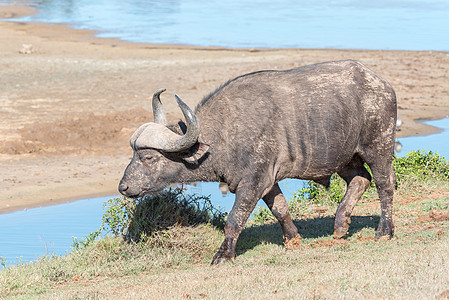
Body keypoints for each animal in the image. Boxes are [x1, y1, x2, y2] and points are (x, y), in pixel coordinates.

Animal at [119, 59, 396, 264]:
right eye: (133, 154)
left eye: (148, 157)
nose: (123, 187)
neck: (226, 133)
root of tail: (382, 86)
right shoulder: (269, 181)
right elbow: (280, 208)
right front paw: (293, 239)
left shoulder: (253, 182)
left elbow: (235, 218)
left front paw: (224, 254)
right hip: (345, 158)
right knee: (361, 179)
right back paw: (340, 225)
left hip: (379, 149)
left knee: (384, 185)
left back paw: (384, 231)